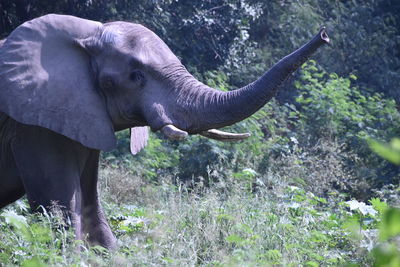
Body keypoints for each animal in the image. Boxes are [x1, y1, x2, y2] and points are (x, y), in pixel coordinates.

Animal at [0, 14, 330, 249]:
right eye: (136, 76)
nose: (324, 35)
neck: (85, 34)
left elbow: (91, 207)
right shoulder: (33, 122)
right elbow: (59, 209)